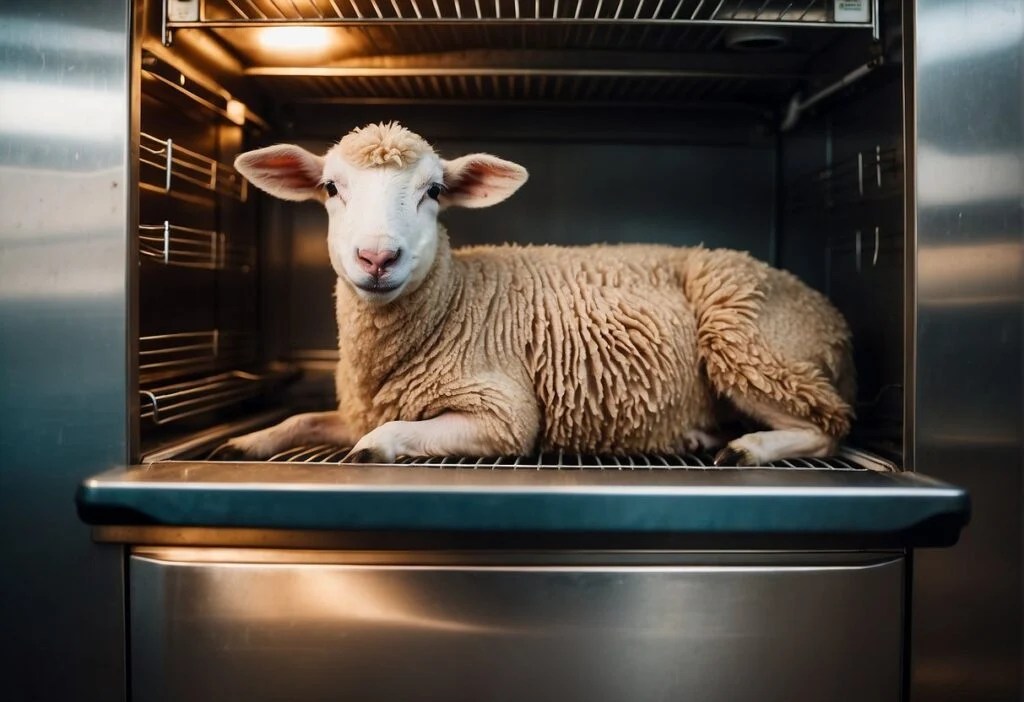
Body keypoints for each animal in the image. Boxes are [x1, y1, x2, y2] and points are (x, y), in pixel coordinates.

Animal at [222, 121, 855, 466]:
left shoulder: (503, 413)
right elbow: (302, 421)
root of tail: (831, 318)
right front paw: (248, 441)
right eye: (332, 187)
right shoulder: (358, 407)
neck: (453, 300)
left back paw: (749, 448)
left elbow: (387, 435)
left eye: (434, 191)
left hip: (747, 339)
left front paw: (373, 449)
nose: (378, 257)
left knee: (829, 429)